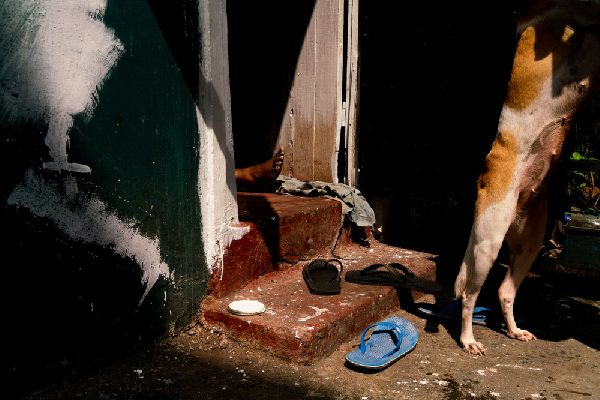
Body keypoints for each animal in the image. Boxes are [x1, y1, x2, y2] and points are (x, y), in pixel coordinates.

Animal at [454, 0, 600, 355]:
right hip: (487, 242)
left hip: (531, 242)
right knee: (468, 295)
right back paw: (468, 340)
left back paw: (515, 330)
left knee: (505, 292)